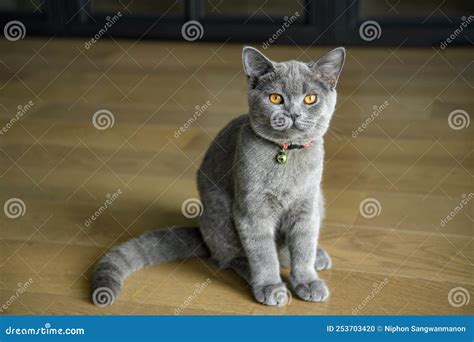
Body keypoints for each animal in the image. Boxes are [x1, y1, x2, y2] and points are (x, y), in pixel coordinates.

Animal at [91, 45, 344, 308]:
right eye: (275, 98)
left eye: (310, 98)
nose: (293, 113)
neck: (286, 154)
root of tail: (202, 231)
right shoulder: (252, 212)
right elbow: (263, 254)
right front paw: (271, 287)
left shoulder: (306, 207)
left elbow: (303, 247)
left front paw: (307, 281)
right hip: (222, 214)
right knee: (231, 257)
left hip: (319, 201)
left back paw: (318, 256)